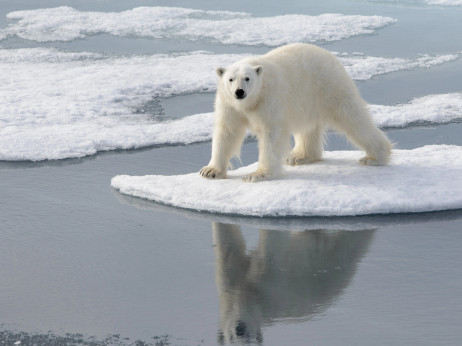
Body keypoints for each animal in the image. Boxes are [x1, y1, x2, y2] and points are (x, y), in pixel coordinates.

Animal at [200, 43, 392, 182]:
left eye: (247, 78)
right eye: (230, 79)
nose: (239, 92)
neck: (250, 102)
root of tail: (330, 56)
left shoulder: (270, 99)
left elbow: (271, 135)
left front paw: (257, 174)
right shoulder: (228, 104)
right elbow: (227, 132)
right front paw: (210, 171)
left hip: (329, 86)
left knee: (352, 118)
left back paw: (375, 157)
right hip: (308, 101)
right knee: (308, 128)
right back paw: (299, 157)